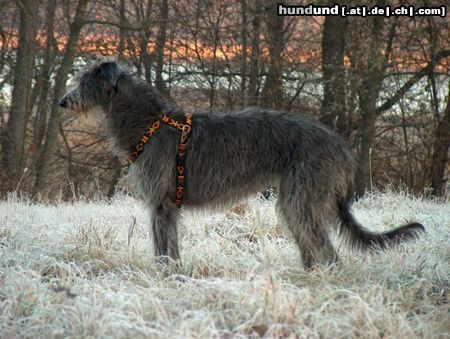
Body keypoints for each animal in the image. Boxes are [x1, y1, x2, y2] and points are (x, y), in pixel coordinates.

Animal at [60, 59, 426, 270]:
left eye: (82, 81)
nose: (62, 101)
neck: (149, 123)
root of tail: (342, 148)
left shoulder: (162, 203)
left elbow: (164, 251)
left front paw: (164, 277)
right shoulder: (165, 207)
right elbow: (168, 247)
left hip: (303, 195)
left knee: (327, 251)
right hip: (298, 199)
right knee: (312, 247)